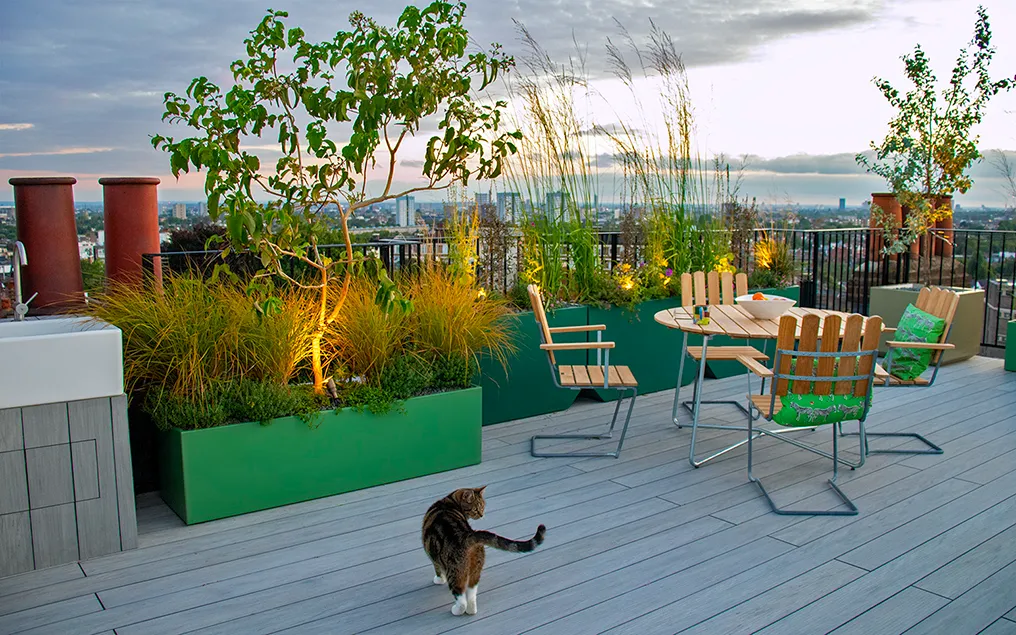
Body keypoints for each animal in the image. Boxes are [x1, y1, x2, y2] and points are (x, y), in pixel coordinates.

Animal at [420, 485, 548, 613]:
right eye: (476, 509)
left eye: (482, 507)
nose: (482, 515)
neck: (449, 502)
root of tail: (467, 536)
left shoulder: (432, 555)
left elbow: (437, 569)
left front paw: (439, 579)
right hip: (476, 568)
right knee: (472, 591)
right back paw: (471, 610)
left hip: (455, 571)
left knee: (461, 597)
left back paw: (457, 610)